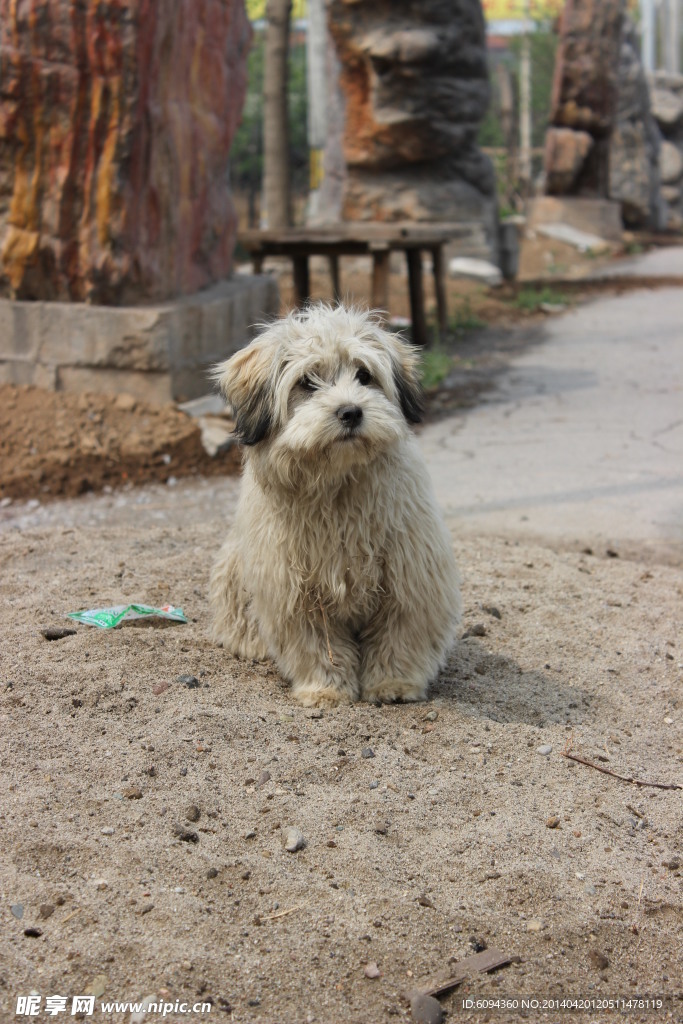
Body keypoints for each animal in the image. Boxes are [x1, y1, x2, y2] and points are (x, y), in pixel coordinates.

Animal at [210, 303, 462, 704]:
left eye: (364, 375)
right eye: (306, 382)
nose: (351, 412)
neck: (336, 487)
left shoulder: (411, 577)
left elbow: (400, 635)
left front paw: (394, 683)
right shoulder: (293, 590)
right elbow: (315, 645)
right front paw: (325, 688)